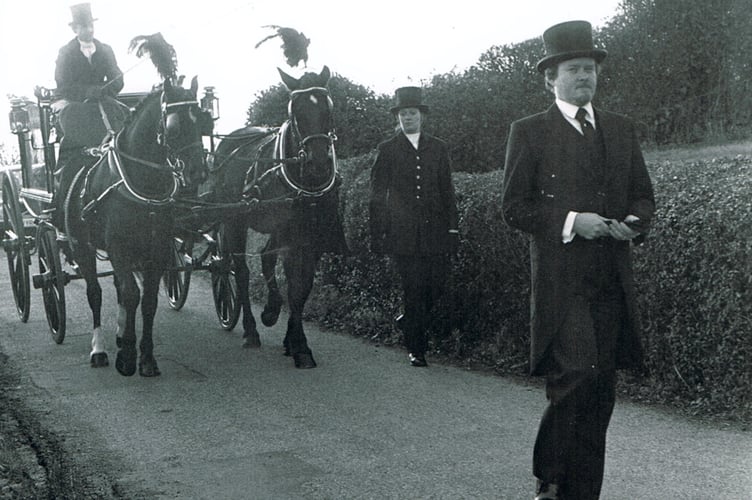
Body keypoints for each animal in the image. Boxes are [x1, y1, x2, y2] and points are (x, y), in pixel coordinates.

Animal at [62, 34, 207, 376]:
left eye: (203, 122)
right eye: (175, 126)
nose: (198, 173)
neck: (144, 183)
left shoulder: (157, 248)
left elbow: (148, 299)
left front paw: (146, 357)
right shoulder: (119, 245)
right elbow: (131, 293)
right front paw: (127, 357)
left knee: (116, 287)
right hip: (82, 247)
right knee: (95, 293)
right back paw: (100, 349)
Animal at [210, 65, 348, 368]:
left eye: (328, 107)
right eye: (295, 111)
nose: (319, 162)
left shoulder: (311, 239)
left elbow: (302, 288)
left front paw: (293, 341)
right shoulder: (292, 238)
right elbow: (293, 286)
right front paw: (299, 345)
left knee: (265, 257)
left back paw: (271, 310)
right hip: (234, 221)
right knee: (241, 272)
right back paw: (250, 330)